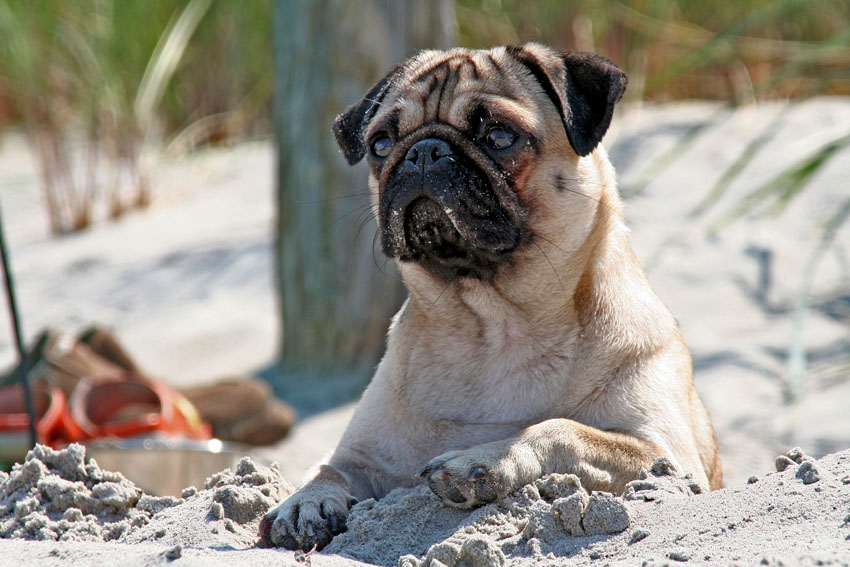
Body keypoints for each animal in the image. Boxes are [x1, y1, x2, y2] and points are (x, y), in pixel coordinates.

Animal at [258, 44, 716, 556]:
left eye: (499, 135)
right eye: (380, 144)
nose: (423, 151)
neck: (495, 326)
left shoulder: (665, 457)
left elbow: (562, 429)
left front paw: (487, 460)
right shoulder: (362, 455)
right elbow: (329, 467)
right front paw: (306, 501)